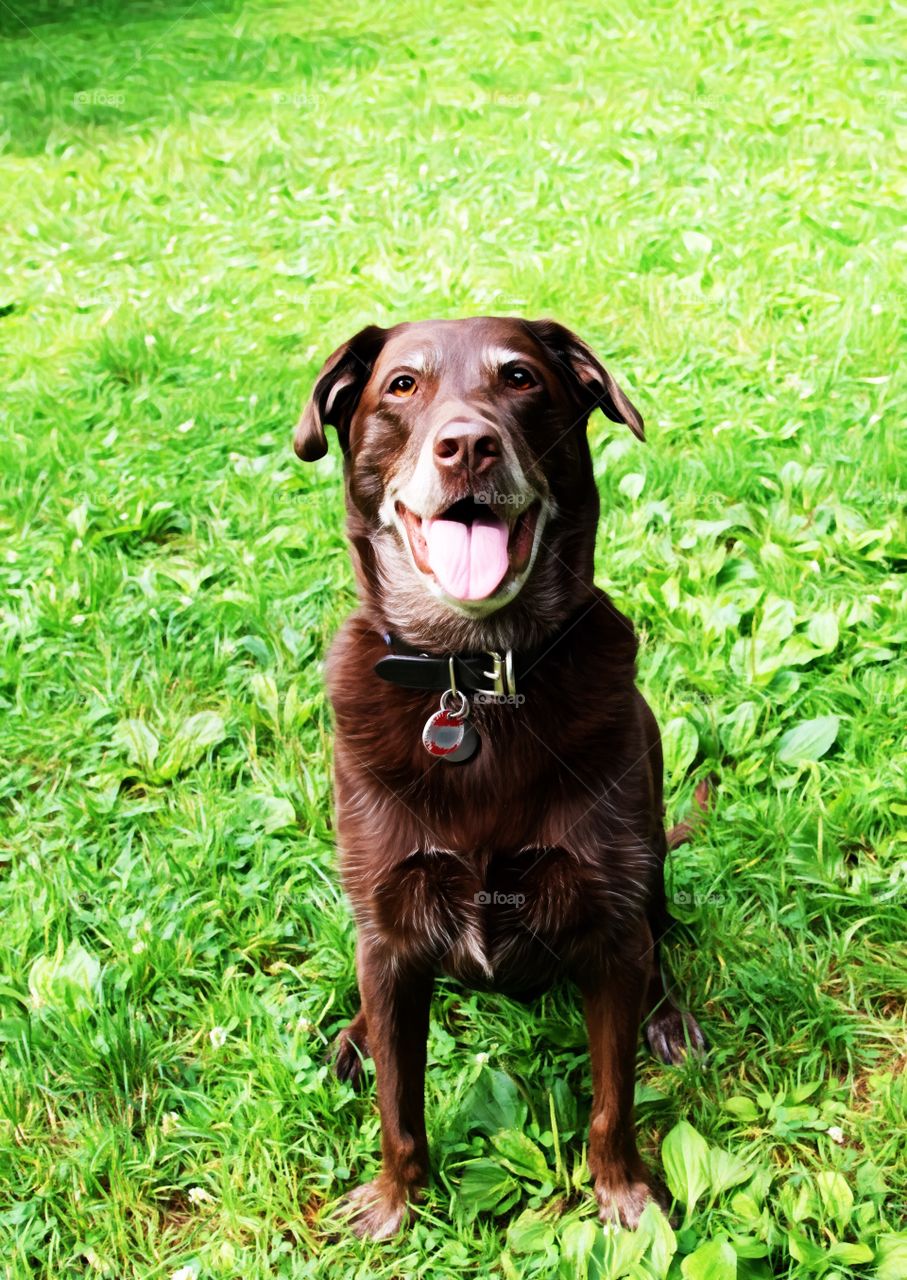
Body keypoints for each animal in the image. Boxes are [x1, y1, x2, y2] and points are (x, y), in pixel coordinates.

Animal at [294, 314, 706, 1233]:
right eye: (401, 385)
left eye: (519, 379)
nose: (468, 446)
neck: (476, 677)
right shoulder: (389, 929)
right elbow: (399, 1103)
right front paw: (394, 1201)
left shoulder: (610, 923)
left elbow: (611, 1101)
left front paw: (624, 1196)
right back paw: (352, 1037)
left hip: (648, 863)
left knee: (662, 942)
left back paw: (671, 1017)